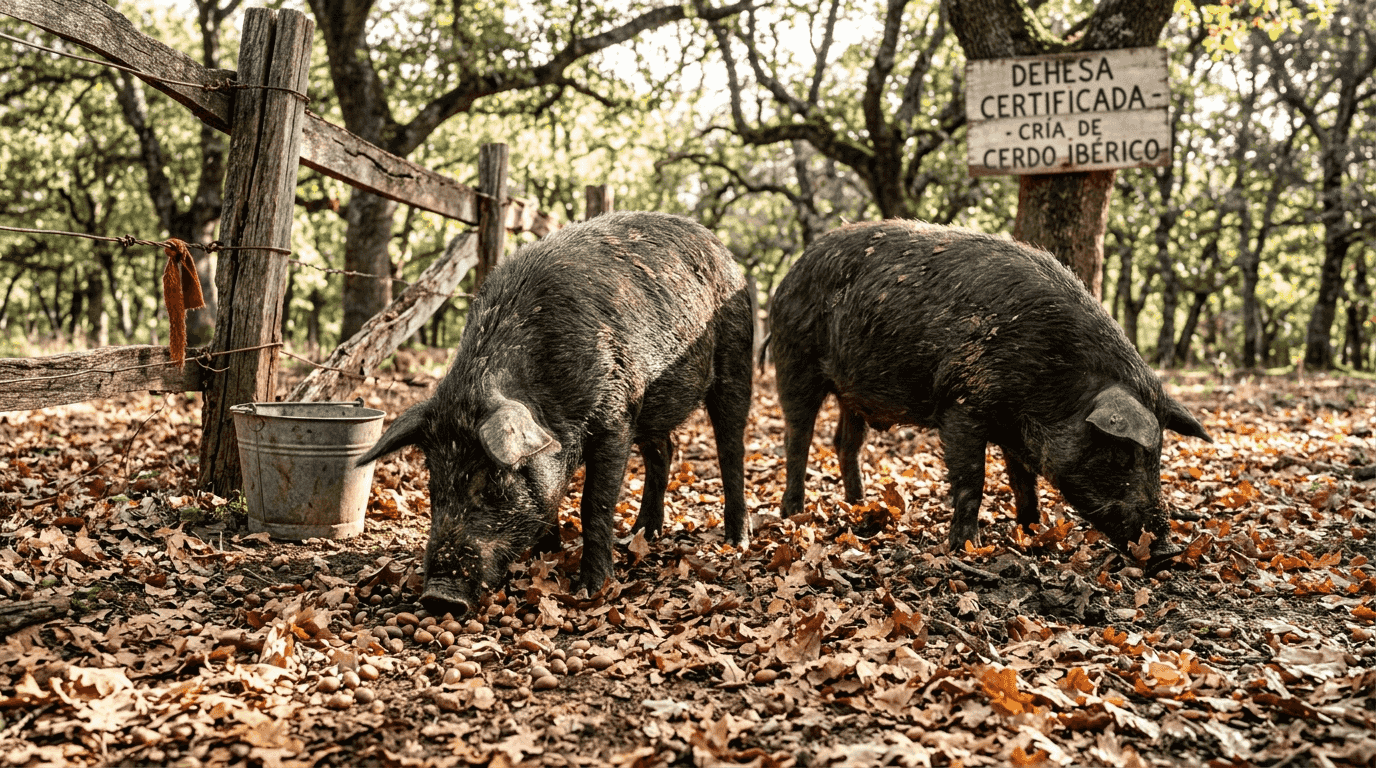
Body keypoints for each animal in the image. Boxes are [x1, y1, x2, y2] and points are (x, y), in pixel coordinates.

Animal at [357, 211, 754, 617]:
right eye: (434, 483)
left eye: (494, 482)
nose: (439, 596)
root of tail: (719, 246)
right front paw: (545, 555)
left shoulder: (616, 416)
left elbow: (594, 502)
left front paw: (592, 588)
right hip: (654, 406)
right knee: (664, 452)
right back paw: (640, 536)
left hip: (736, 356)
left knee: (730, 448)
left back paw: (735, 541)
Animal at [768, 220, 1210, 565]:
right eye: (1122, 453)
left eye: (1157, 454)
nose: (1168, 550)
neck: (1057, 379)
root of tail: (792, 272)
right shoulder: (962, 405)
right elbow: (972, 477)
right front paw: (968, 547)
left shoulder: (1016, 429)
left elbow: (1024, 481)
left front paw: (1033, 533)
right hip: (794, 361)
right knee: (798, 436)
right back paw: (794, 513)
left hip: (851, 394)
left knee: (846, 443)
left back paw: (860, 507)